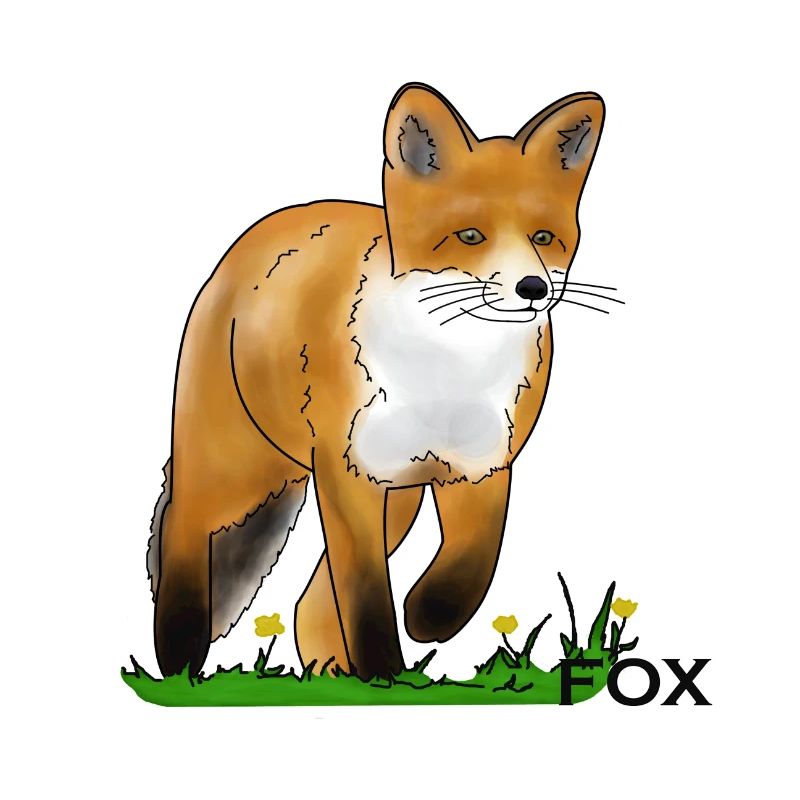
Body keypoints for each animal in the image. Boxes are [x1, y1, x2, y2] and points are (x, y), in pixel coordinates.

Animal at [147, 82, 605, 680]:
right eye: (470, 235)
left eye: (544, 236)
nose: (534, 288)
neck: (445, 375)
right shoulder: (348, 476)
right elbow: (365, 598)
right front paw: (386, 671)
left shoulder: (482, 467)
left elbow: (472, 566)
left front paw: (428, 618)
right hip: (237, 469)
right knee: (184, 528)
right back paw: (178, 656)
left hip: (398, 500)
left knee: (309, 606)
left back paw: (329, 677)